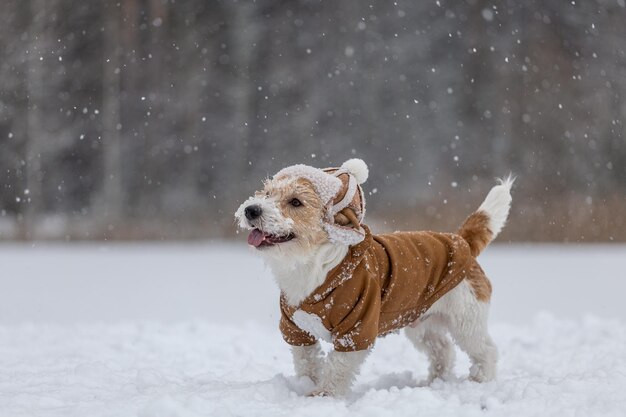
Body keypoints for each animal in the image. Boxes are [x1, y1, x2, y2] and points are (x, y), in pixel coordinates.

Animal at [234, 158, 512, 394]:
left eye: (295, 202)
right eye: (267, 193)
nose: (251, 210)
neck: (311, 265)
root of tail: (461, 241)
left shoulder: (356, 329)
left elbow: (337, 367)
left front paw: (323, 395)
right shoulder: (296, 328)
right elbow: (307, 361)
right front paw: (305, 385)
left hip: (466, 321)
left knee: (486, 350)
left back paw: (480, 380)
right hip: (421, 323)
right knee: (443, 350)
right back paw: (435, 382)